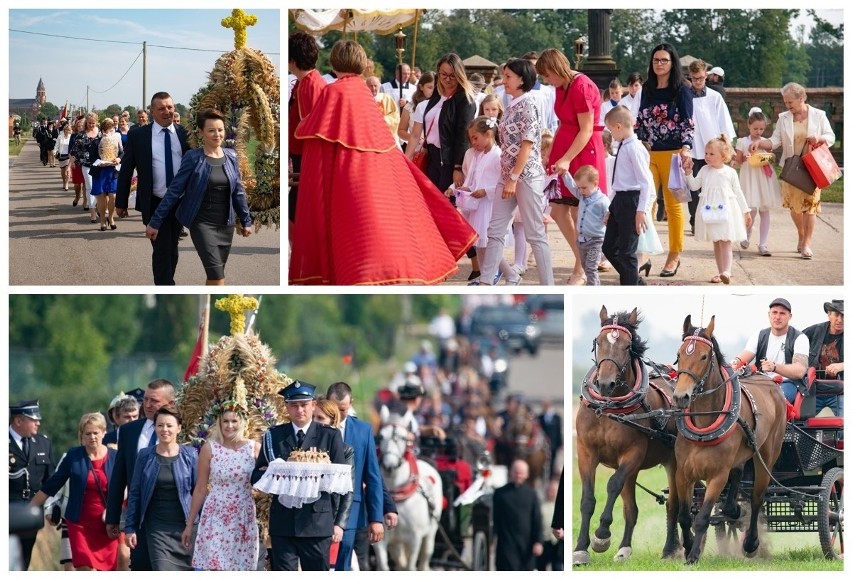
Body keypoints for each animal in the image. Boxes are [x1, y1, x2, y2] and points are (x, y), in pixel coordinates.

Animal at [374, 422, 442, 572]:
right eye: (380, 437)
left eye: (404, 438)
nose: (389, 466)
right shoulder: (381, 537)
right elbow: (384, 566)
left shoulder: (415, 538)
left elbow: (411, 566)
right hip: (397, 542)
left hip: (431, 530)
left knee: (426, 553)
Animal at [572, 308, 684, 568]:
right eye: (598, 342)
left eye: (626, 346)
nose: (605, 383)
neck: (608, 409)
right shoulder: (585, 453)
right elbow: (587, 500)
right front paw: (581, 549)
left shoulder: (632, 454)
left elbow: (613, 484)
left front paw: (601, 536)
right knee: (632, 509)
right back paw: (625, 549)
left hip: (674, 462)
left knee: (675, 505)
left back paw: (671, 548)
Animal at [672, 318, 784, 568]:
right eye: (679, 354)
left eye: (704, 356)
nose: (681, 397)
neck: (704, 424)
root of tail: (770, 381)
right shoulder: (683, 473)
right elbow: (683, 516)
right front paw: (688, 547)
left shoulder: (717, 476)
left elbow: (703, 516)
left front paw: (693, 555)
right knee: (738, 475)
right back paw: (733, 510)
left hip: (767, 455)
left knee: (756, 499)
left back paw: (750, 543)